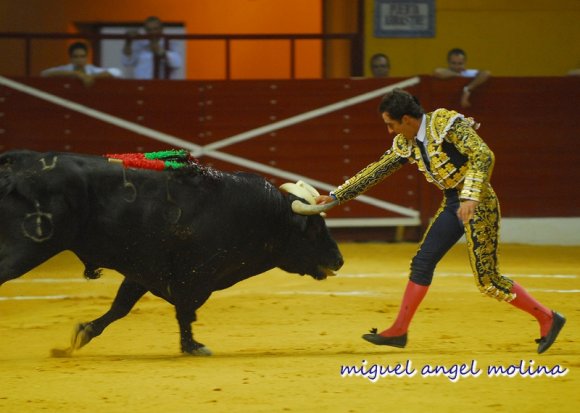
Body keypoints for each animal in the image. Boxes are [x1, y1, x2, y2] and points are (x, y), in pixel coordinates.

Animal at [0, 150, 342, 356]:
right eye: (314, 230)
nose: (339, 259)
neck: (264, 216)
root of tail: (19, 163)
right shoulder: (196, 276)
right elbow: (185, 311)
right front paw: (192, 346)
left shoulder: (143, 270)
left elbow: (120, 307)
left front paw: (82, 334)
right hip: (28, 246)